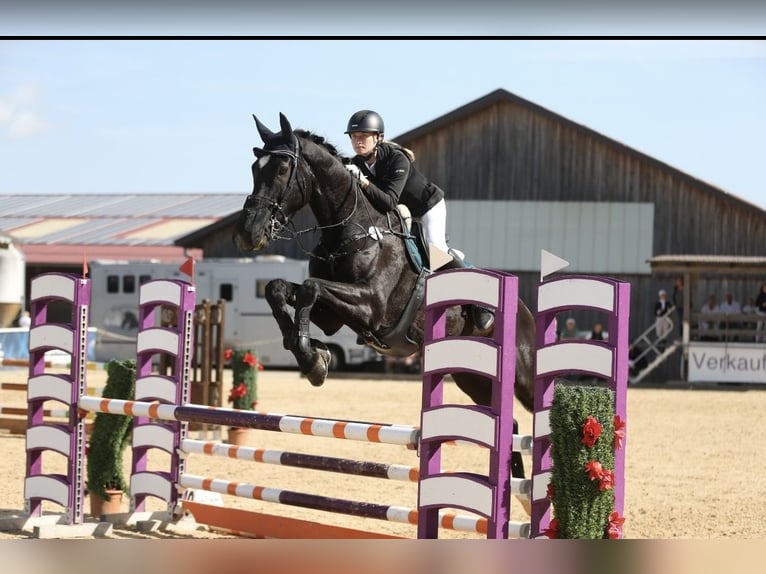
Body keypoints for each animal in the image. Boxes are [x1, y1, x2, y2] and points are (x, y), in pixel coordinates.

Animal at [232, 113, 537, 483]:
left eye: (281, 168)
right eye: (254, 167)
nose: (247, 234)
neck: (352, 230)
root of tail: (523, 307)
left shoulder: (371, 306)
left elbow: (309, 287)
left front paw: (311, 357)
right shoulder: (333, 317)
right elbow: (278, 288)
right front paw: (313, 356)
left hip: (521, 372)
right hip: (471, 377)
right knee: (511, 425)